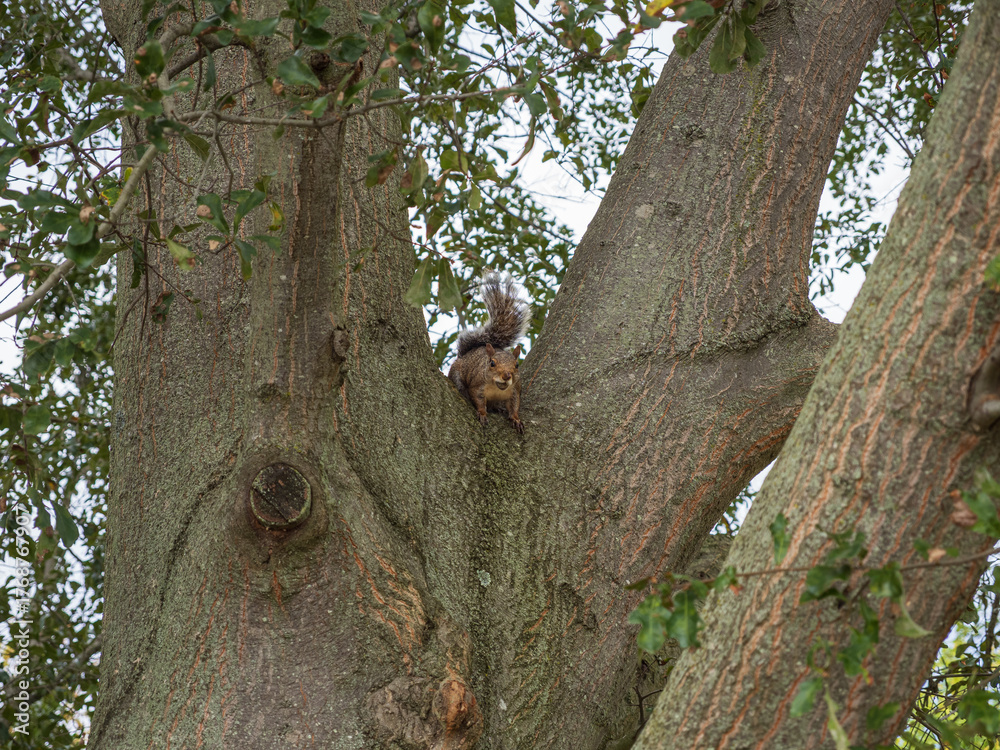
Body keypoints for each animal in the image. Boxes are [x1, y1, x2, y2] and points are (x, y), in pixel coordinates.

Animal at [448, 271, 530, 434]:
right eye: (492, 363)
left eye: (517, 365)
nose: (507, 375)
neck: (496, 388)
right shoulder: (477, 386)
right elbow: (479, 401)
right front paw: (482, 414)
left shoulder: (515, 391)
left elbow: (514, 406)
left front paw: (516, 419)